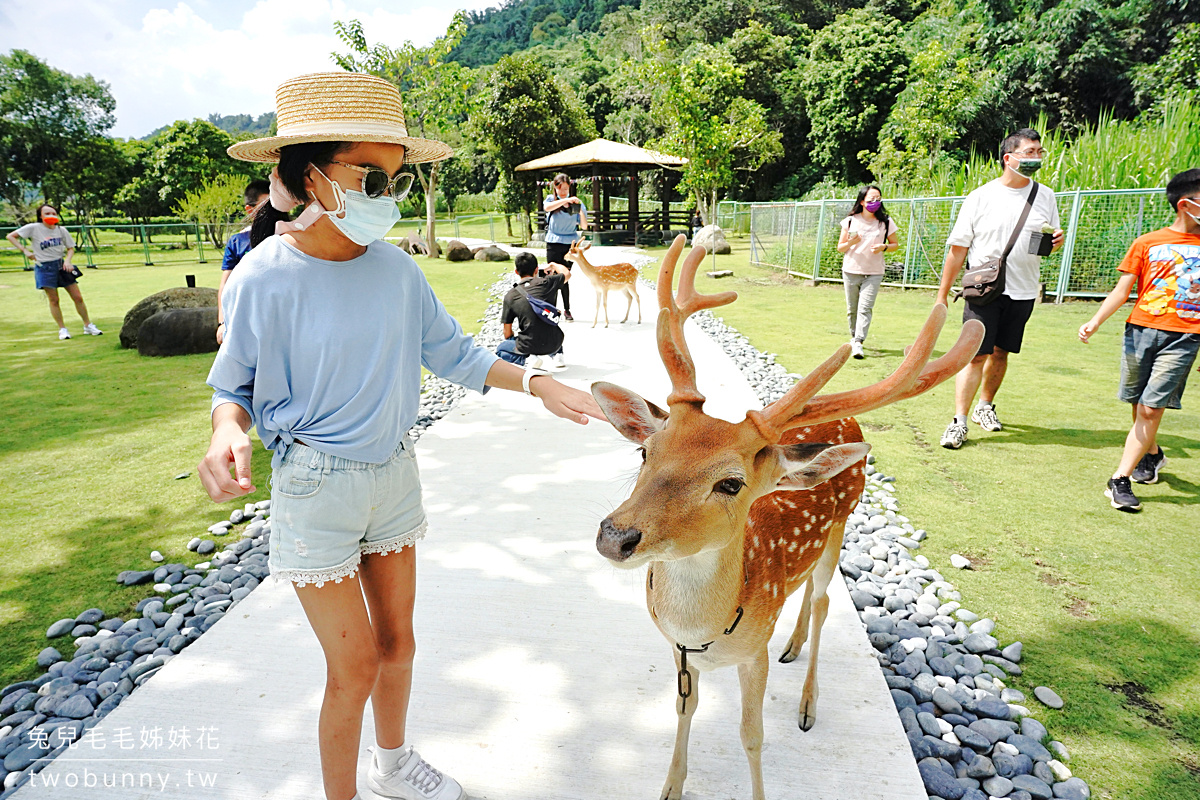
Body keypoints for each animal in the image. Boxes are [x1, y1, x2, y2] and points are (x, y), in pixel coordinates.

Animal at [590, 235, 984, 796]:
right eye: (647, 451)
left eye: (730, 483)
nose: (615, 536)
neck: (703, 632)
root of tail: (847, 421)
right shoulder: (679, 653)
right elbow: (684, 709)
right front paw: (670, 786)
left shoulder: (753, 654)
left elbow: (751, 736)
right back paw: (792, 644)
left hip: (841, 527)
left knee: (822, 600)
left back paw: (807, 702)